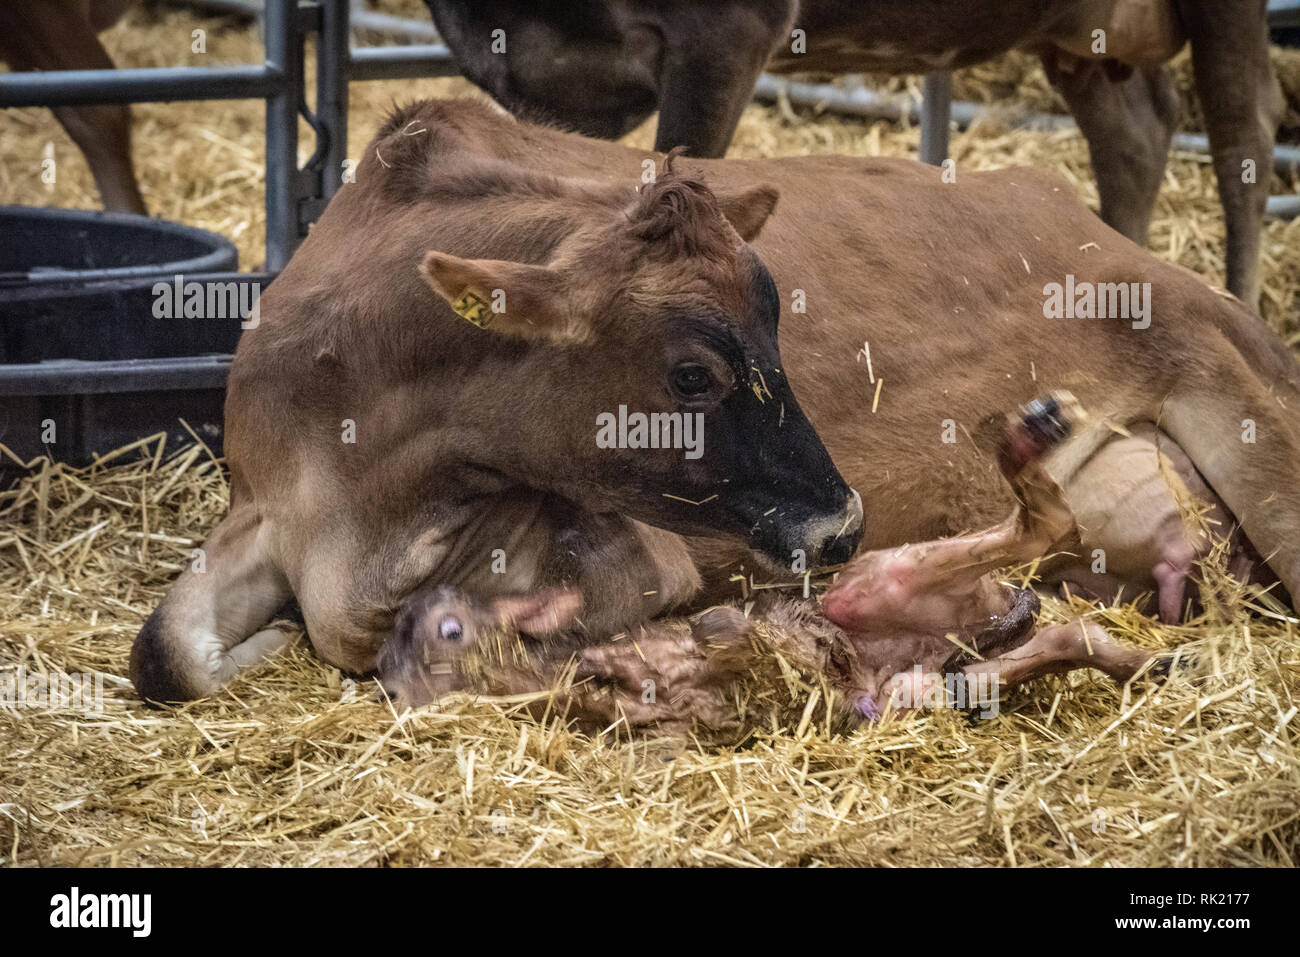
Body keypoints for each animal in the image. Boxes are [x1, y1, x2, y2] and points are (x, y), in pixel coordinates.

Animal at [131, 97, 1300, 707]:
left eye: (779, 323)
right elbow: (167, 652)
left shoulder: (641, 559)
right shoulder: (266, 504)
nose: (843, 524)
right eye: (692, 373)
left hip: (1241, 402)